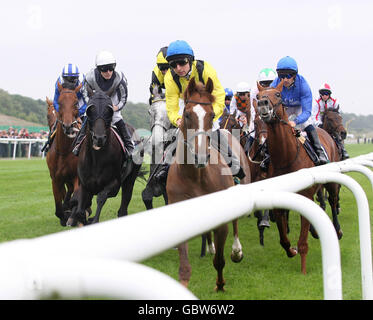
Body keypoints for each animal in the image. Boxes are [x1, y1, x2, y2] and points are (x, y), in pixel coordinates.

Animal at [66, 91, 145, 226]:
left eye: (109, 112)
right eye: (90, 111)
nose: (99, 138)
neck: (96, 158)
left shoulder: (114, 183)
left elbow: (101, 197)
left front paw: (93, 220)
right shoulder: (84, 184)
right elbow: (80, 207)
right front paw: (77, 218)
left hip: (130, 178)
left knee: (124, 203)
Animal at [166, 78, 250, 292]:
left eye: (212, 115)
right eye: (187, 114)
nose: (201, 156)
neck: (196, 176)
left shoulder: (222, 221)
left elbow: (220, 260)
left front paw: (220, 284)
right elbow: (184, 266)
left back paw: (237, 250)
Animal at [256, 80, 340, 272]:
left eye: (277, 95)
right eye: (257, 96)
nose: (263, 104)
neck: (286, 157)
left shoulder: (307, 196)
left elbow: (303, 242)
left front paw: (303, 270)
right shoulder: (278, 201)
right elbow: (283, 239)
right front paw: (291, 250)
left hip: (331, 181)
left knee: (332, 200)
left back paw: (337, 230)